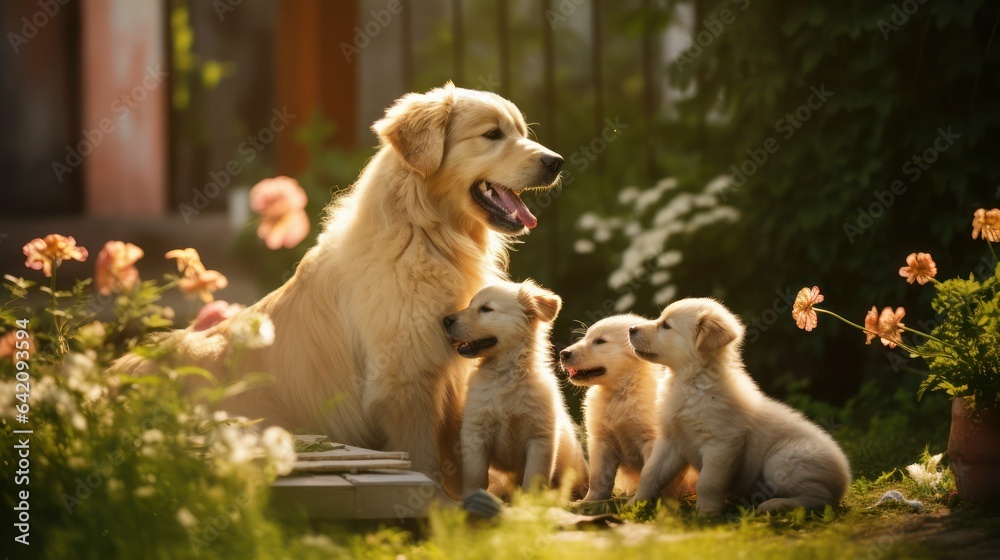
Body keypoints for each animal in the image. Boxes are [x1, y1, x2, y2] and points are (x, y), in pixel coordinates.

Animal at [444, 280, 584, 498]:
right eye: (470, 304)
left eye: (486, 309)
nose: (445, 320)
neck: (505, 375)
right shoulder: (475, 432)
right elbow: (475, 474)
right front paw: (472, 497)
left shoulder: (540, 439)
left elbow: (534, 477)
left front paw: (531, 502)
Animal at [564, 316, 696, 504]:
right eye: (586, 337)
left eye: (600, 341)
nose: (563, 354)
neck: (620, 394)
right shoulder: (601, 442)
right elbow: (598, 478)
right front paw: (588, 502)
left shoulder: (651, 441)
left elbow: (651, 473)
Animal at [624, 300, 852, 516]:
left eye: (666, 326)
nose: (631, 328)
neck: (690, 382)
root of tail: (845, 476)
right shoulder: (671, 440)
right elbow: (650, 473)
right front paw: (635, 504)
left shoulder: (722, 443)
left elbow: (707, 482)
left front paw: (707, 513)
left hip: (781, 462)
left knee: (821, 499)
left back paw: (773, 505)